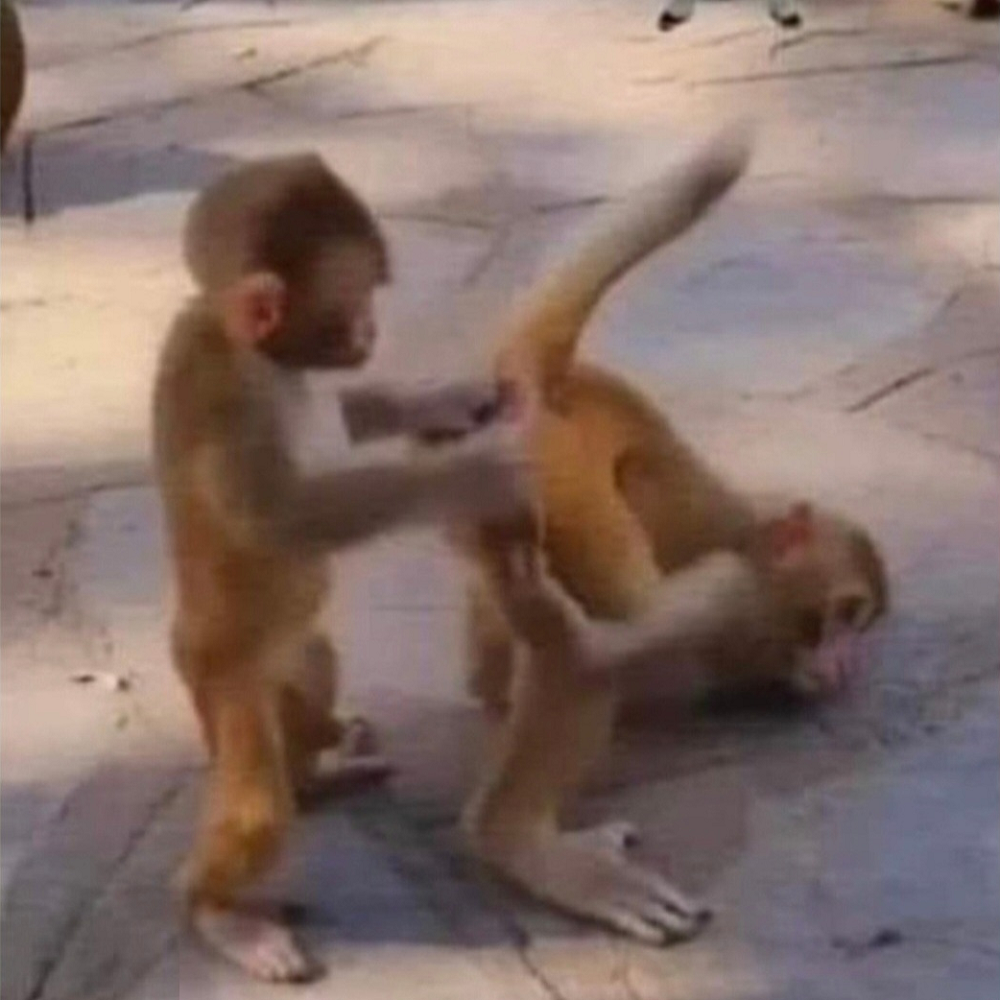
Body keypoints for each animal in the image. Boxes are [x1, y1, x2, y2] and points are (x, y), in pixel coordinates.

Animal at [153, 152, 537, 982]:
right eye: (357, 297)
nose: (371, 330)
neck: (246, 344)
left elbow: (351, 416)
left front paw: (443, 401)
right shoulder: (226, 390)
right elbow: (277, 517)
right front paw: (467, 475)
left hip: (287, 658)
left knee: (312, 673)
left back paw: (317, 772)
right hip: (226, 683)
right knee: (258, 809)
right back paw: (218, 912)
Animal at [452, 123, 889, 946]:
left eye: (862, 623)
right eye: (843, 614)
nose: (846, 662)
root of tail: (551, 386)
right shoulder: (734, 590)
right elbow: (589, 652)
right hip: (561, 483)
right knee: (594, 638)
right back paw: (516, 836)